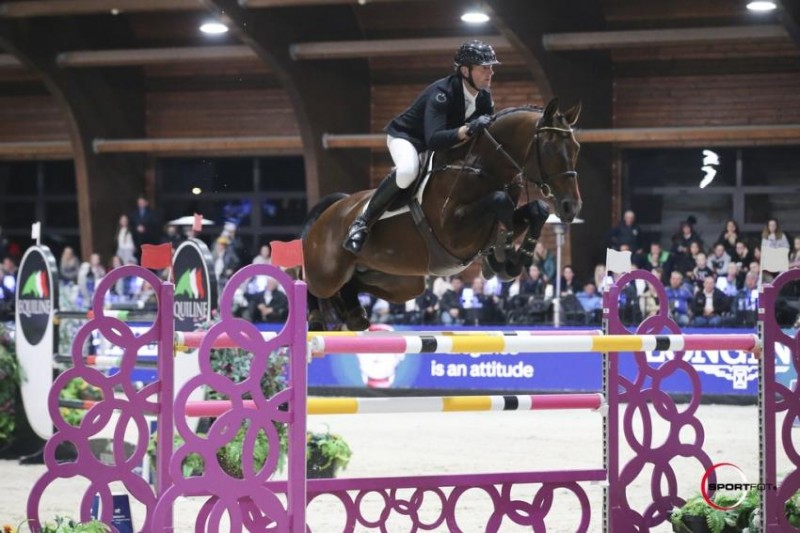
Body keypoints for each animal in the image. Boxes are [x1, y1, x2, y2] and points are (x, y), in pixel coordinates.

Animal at [302, 97, 582, 331]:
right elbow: (499, 201)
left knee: (352, 284)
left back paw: (353, 313)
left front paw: (509, 259)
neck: (482, 166)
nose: (572, 207)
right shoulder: (453, 230)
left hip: (399, 282)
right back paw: (317, 317)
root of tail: (330, 211)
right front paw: (504, 257)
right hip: (326, 272)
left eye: (577, 148)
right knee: (309, 282)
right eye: (551, 149)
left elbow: (536, 210)